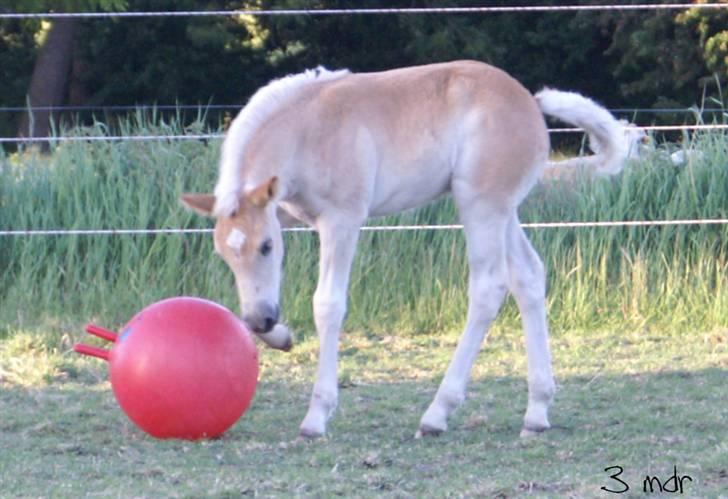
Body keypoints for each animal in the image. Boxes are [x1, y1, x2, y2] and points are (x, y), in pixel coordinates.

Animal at [181, 60, 624, 440]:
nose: (261, 320)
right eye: (224, 254)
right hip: (503, 210)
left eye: (267, 247)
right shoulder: (286, 213)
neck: (307, 132)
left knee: (488, 287)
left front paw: (317, 416)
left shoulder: (342, 219)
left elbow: (328, 304)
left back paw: (437, 414)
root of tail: (529, 101)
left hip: (480, 204)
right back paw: (536, 412)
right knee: (528, 277)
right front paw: (281, 336)